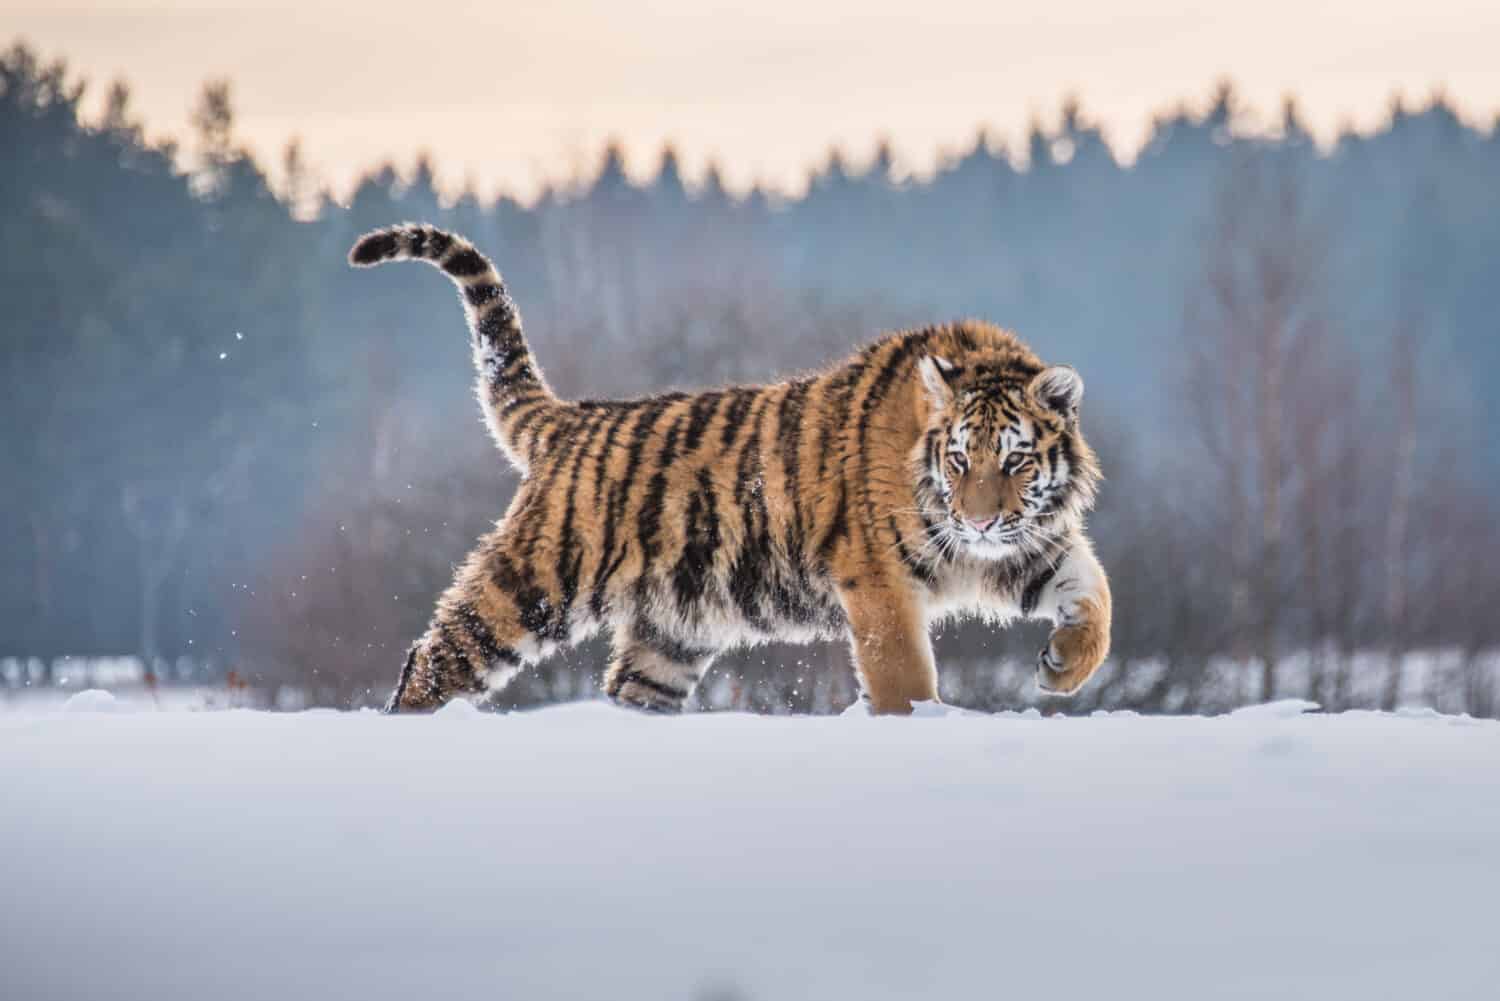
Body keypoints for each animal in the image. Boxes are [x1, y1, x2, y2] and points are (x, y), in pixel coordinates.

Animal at [345, 223, 1110, 717]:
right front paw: (918, 726)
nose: (977, 521)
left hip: (671, 635)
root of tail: (571, 419)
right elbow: (905, 676)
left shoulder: (1027, 542)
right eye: (958, 459)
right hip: (531, 584)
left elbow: (1094, 594)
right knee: (433, 659)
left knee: (628, 691)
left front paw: (1064, 667)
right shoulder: (879, 580)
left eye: (1014, 460)